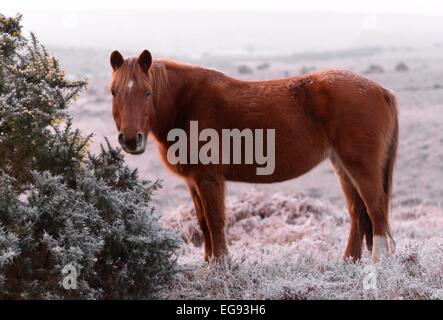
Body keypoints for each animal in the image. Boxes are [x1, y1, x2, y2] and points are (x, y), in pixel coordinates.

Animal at [110, 49, 398, 262]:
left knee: (376, 207)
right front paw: (208, 263)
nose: (131, 139)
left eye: (147, 92)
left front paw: (221, 265)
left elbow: (215, 220)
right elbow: (202, 222)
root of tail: (381, 91)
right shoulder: (193, 181)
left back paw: (377, 264)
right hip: (342, 165)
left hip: (360, 165)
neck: (186, 103)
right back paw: (349, 262)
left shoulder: (209, 178)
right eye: (114, 91)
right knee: (357, 210)